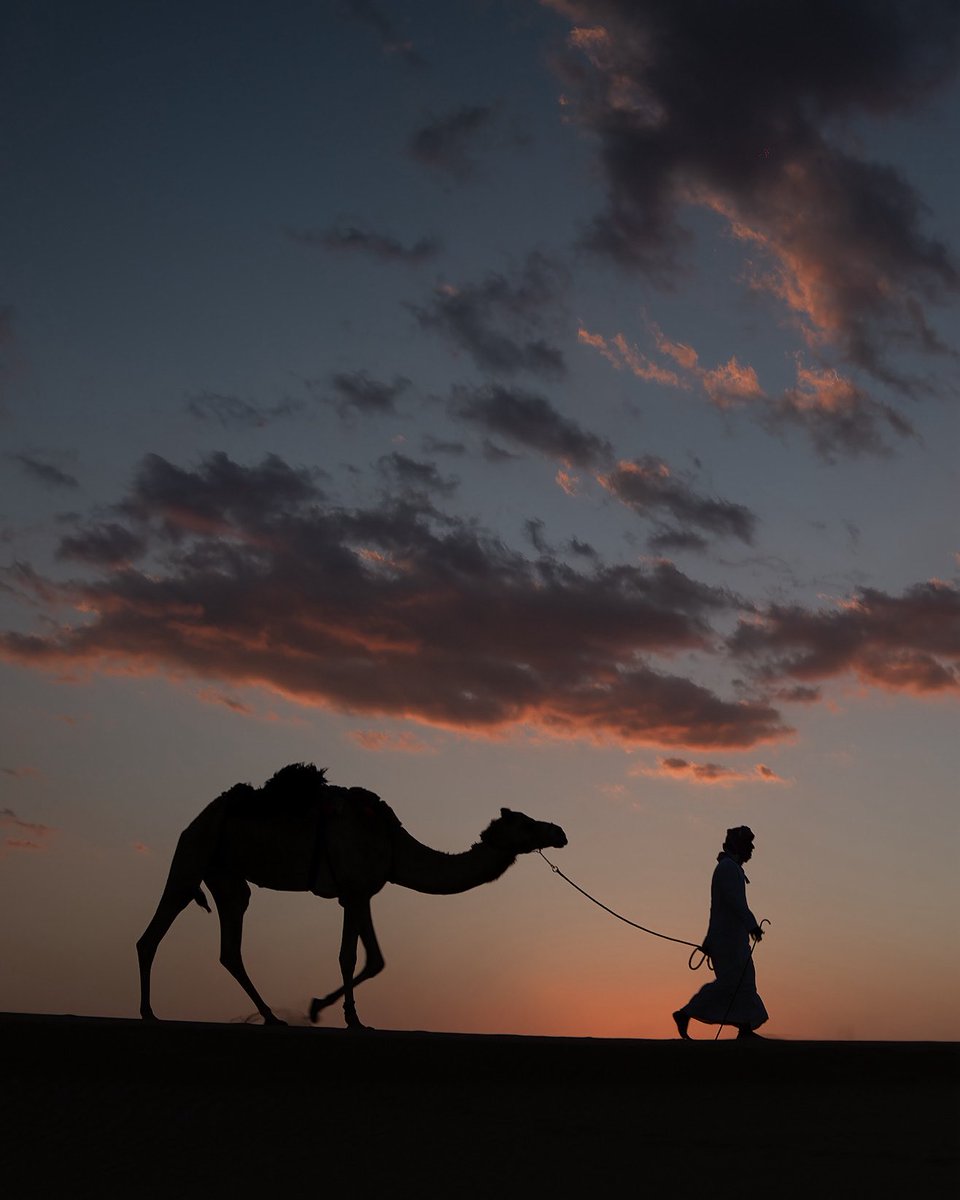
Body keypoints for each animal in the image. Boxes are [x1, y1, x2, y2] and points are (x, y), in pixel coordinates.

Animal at [136, 763, 567, 1029]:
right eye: (526, 823)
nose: (560, 832)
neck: (394, 847)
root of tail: (197, 818)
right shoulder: (358, 890)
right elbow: (367, 958)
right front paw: (328, 1011)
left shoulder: (354, 894)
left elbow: (355, 956)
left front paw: (349, 1017)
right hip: (192, 854)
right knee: (153, 933)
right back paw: (149, 1012)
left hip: (225, 876)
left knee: (230, 947)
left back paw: (272, 1017)